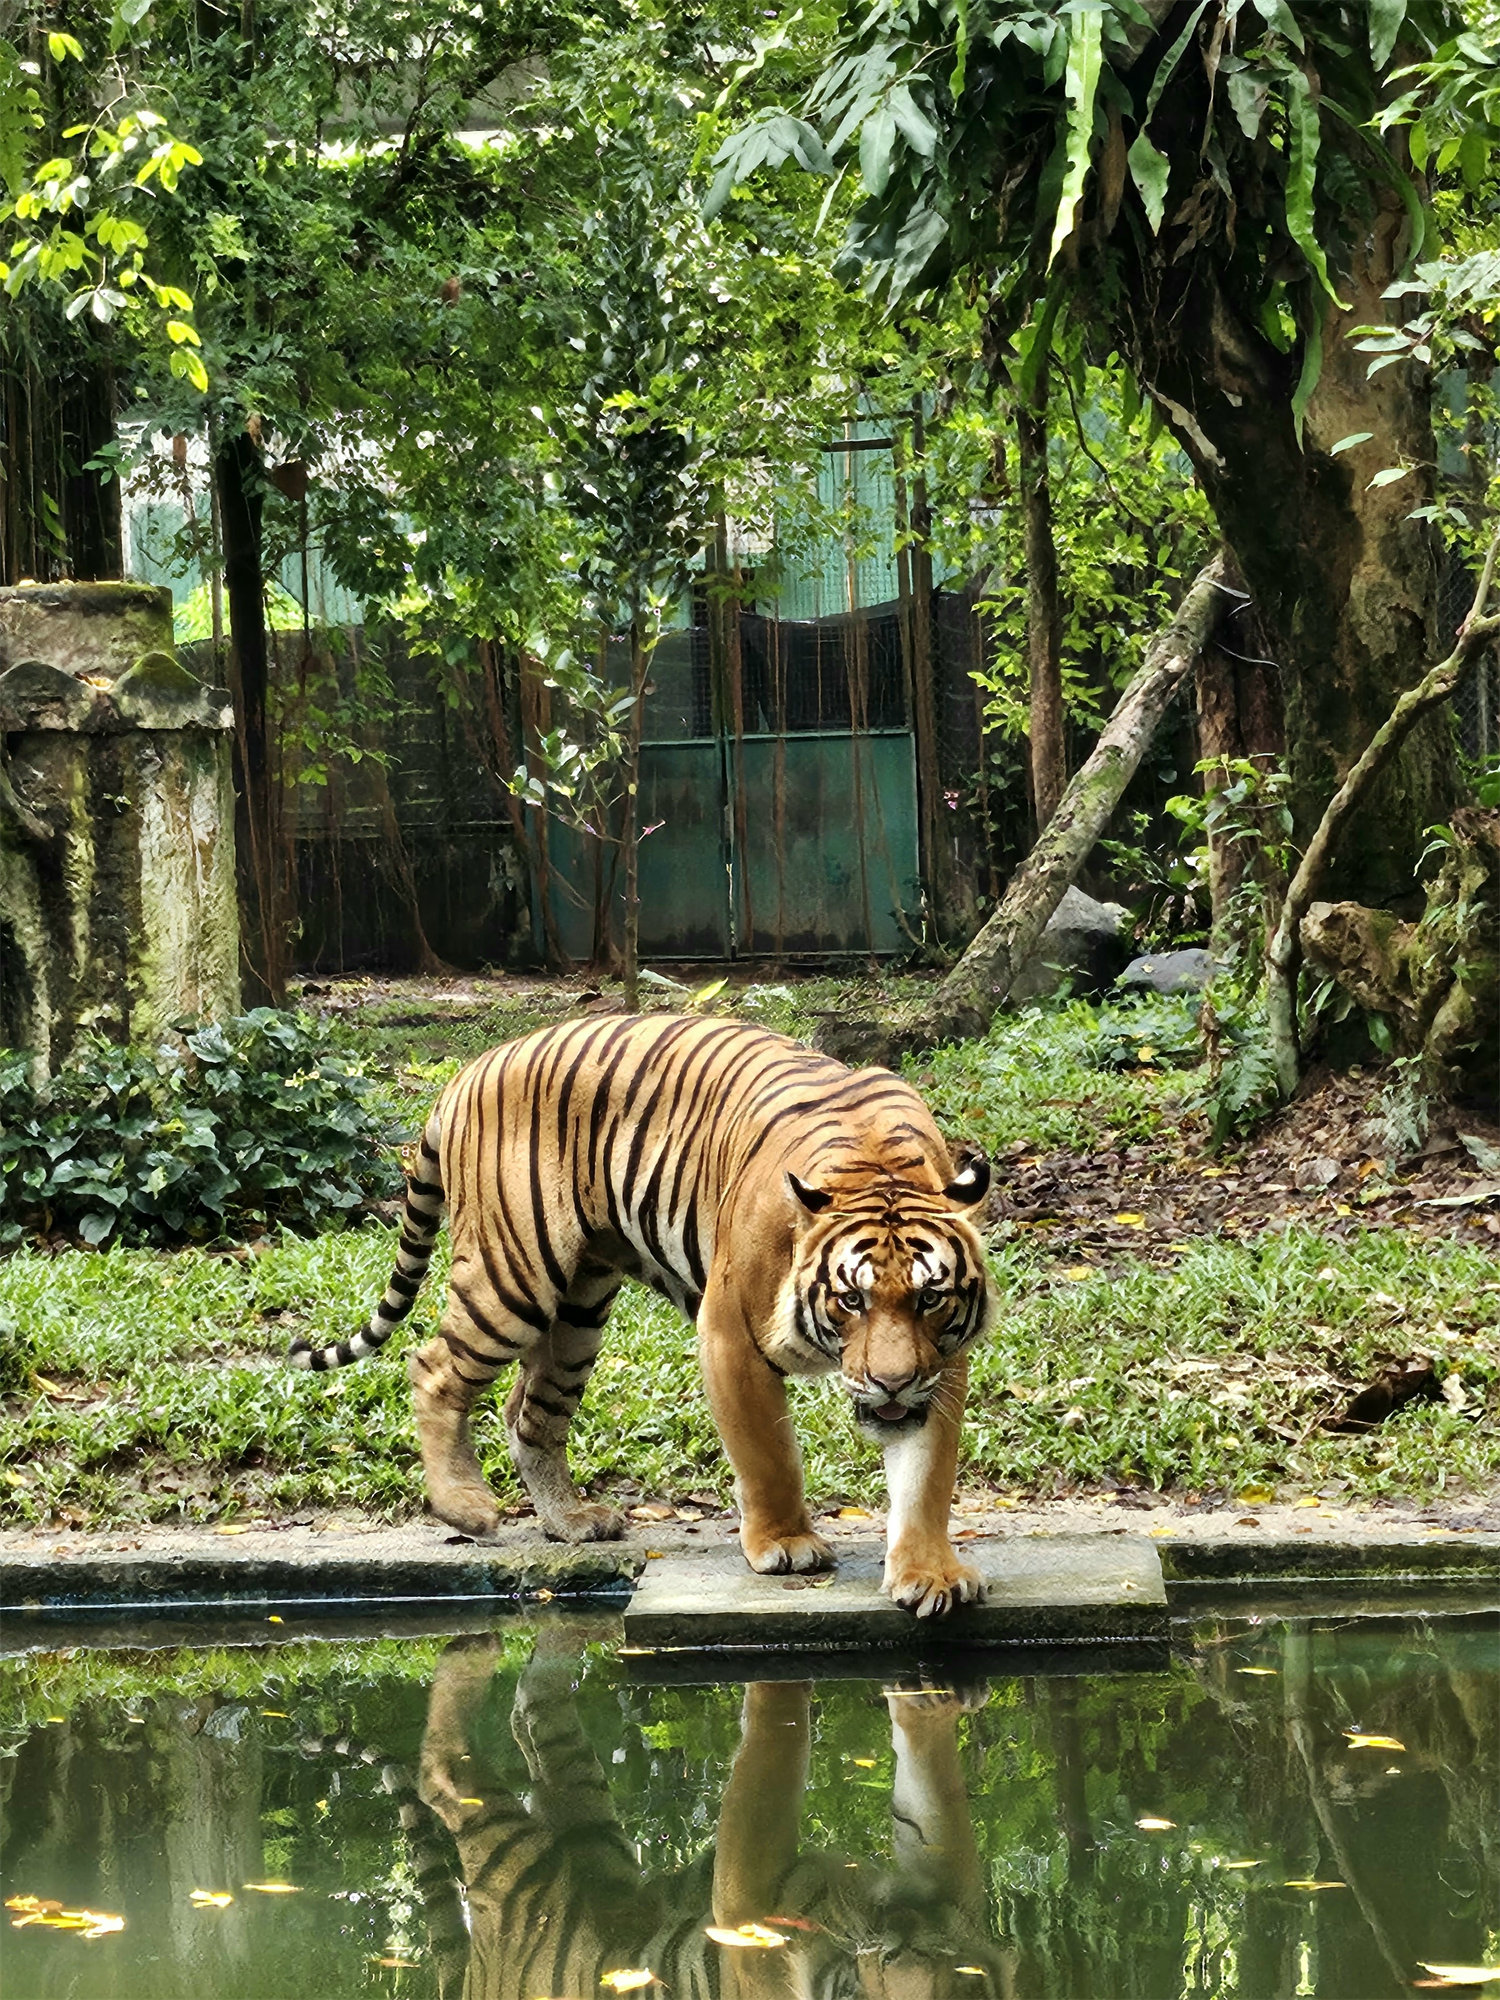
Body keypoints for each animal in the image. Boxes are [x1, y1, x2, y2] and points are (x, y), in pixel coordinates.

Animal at [292, 1008, 1000, 1616]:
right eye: (852, 1299)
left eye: (930, 1298)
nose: (891, 1383)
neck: (876, 1167)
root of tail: (467, 1072)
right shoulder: (730, 1336)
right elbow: (767, 1452)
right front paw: (785, 1543)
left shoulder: (942, 1365)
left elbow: (926, 1474)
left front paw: (930, 1575)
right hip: (511, 1277)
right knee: (434, 1369)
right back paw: (466, 1508)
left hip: (578, 1309)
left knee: (530, 1413)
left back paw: (571, 1522)